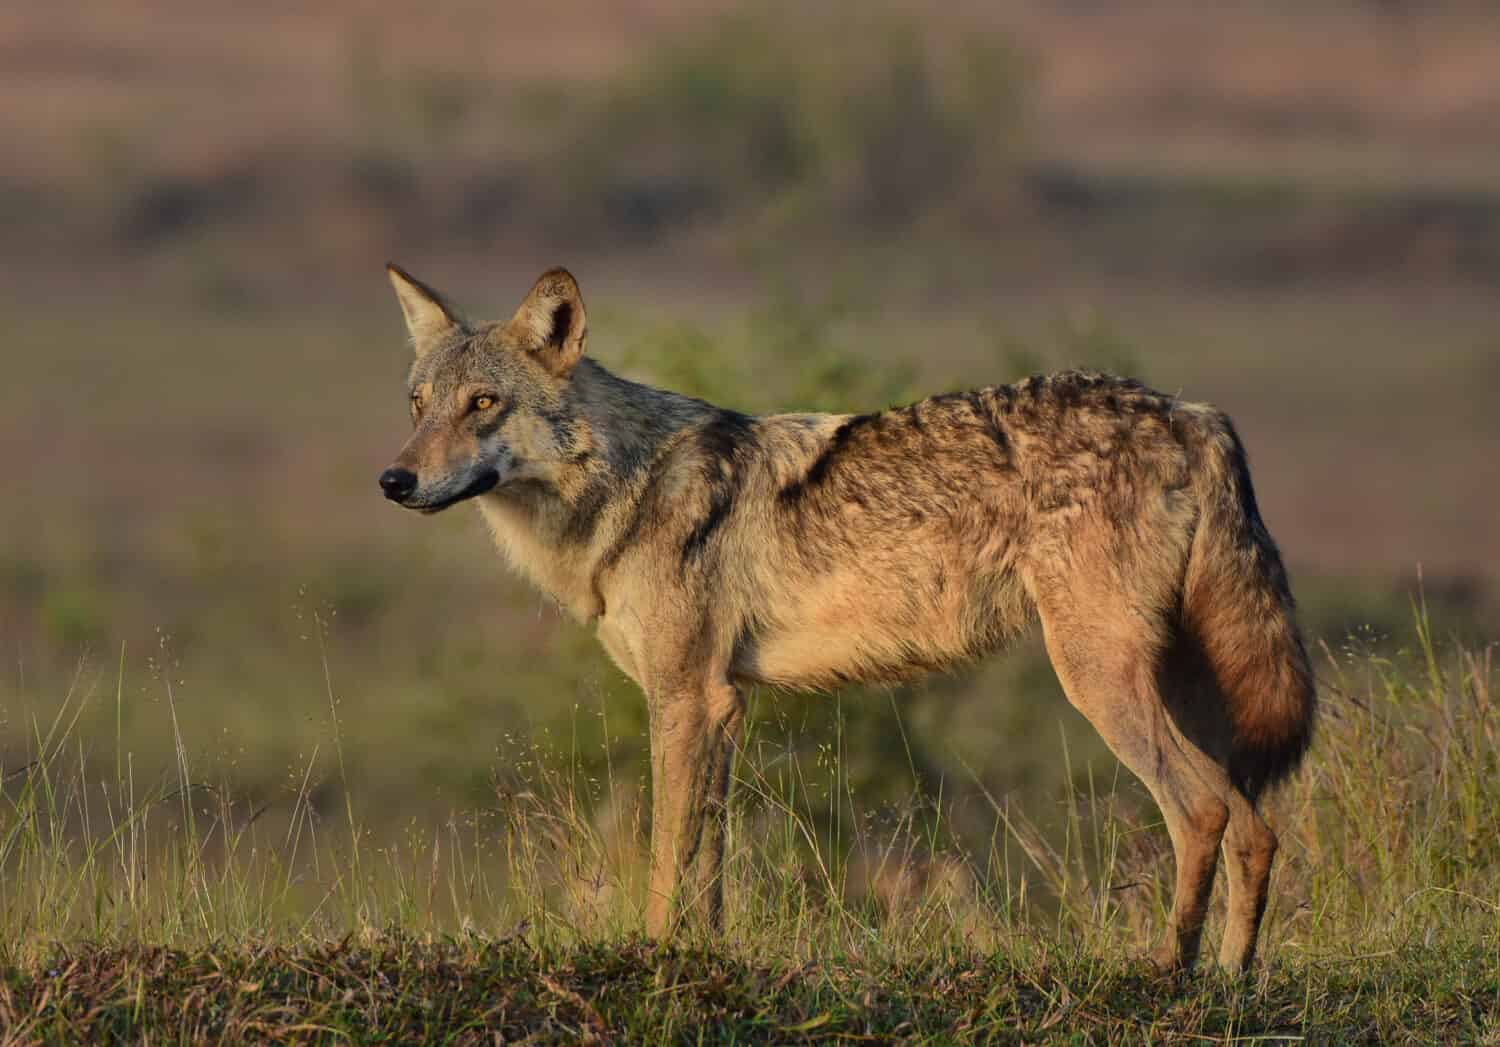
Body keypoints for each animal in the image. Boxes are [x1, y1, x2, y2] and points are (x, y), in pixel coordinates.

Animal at [378, 262, 1314, 972]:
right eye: (419, 404)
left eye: (483, 404)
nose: (393, 480)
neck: (625, 486)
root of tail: (1193, 412)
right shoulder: (723, 703)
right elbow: (710, 861)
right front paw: (707, 957)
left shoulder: (684, 698)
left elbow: (667, 854)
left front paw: (655, 956)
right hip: (1182, 690)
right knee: (1257, 827)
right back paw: (1232, 977)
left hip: (1097, 680)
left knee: (1204, 810)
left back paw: (1169, 970)